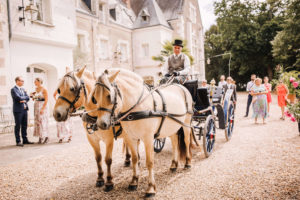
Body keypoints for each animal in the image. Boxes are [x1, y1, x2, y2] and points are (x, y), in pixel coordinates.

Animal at [90, 69, 193, 197]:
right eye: (94, 97)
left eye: (110, 96)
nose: (101, 124)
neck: (136, 106)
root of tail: (181, 86)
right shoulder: (131, 138)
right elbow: (135, 159)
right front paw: (134, 181)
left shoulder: (148, 138)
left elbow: (149, 162)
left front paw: (151, 188)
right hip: (172, 127)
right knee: (174, 143)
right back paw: (174, 165)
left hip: (186, 122)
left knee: (186, 141)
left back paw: (187, 163)